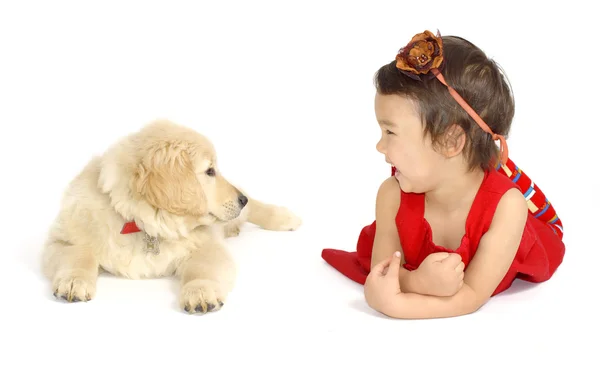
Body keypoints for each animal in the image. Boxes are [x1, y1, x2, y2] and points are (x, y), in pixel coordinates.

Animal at [41, 119, 302, 314]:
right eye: (210, 171)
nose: (241, 199)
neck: (144, 224)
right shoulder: (64, 238)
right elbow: (78, 255)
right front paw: (74, 281)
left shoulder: (209, 245)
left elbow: (202, 268)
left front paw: (200, 292)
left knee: (254, 208)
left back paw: (285, 217)